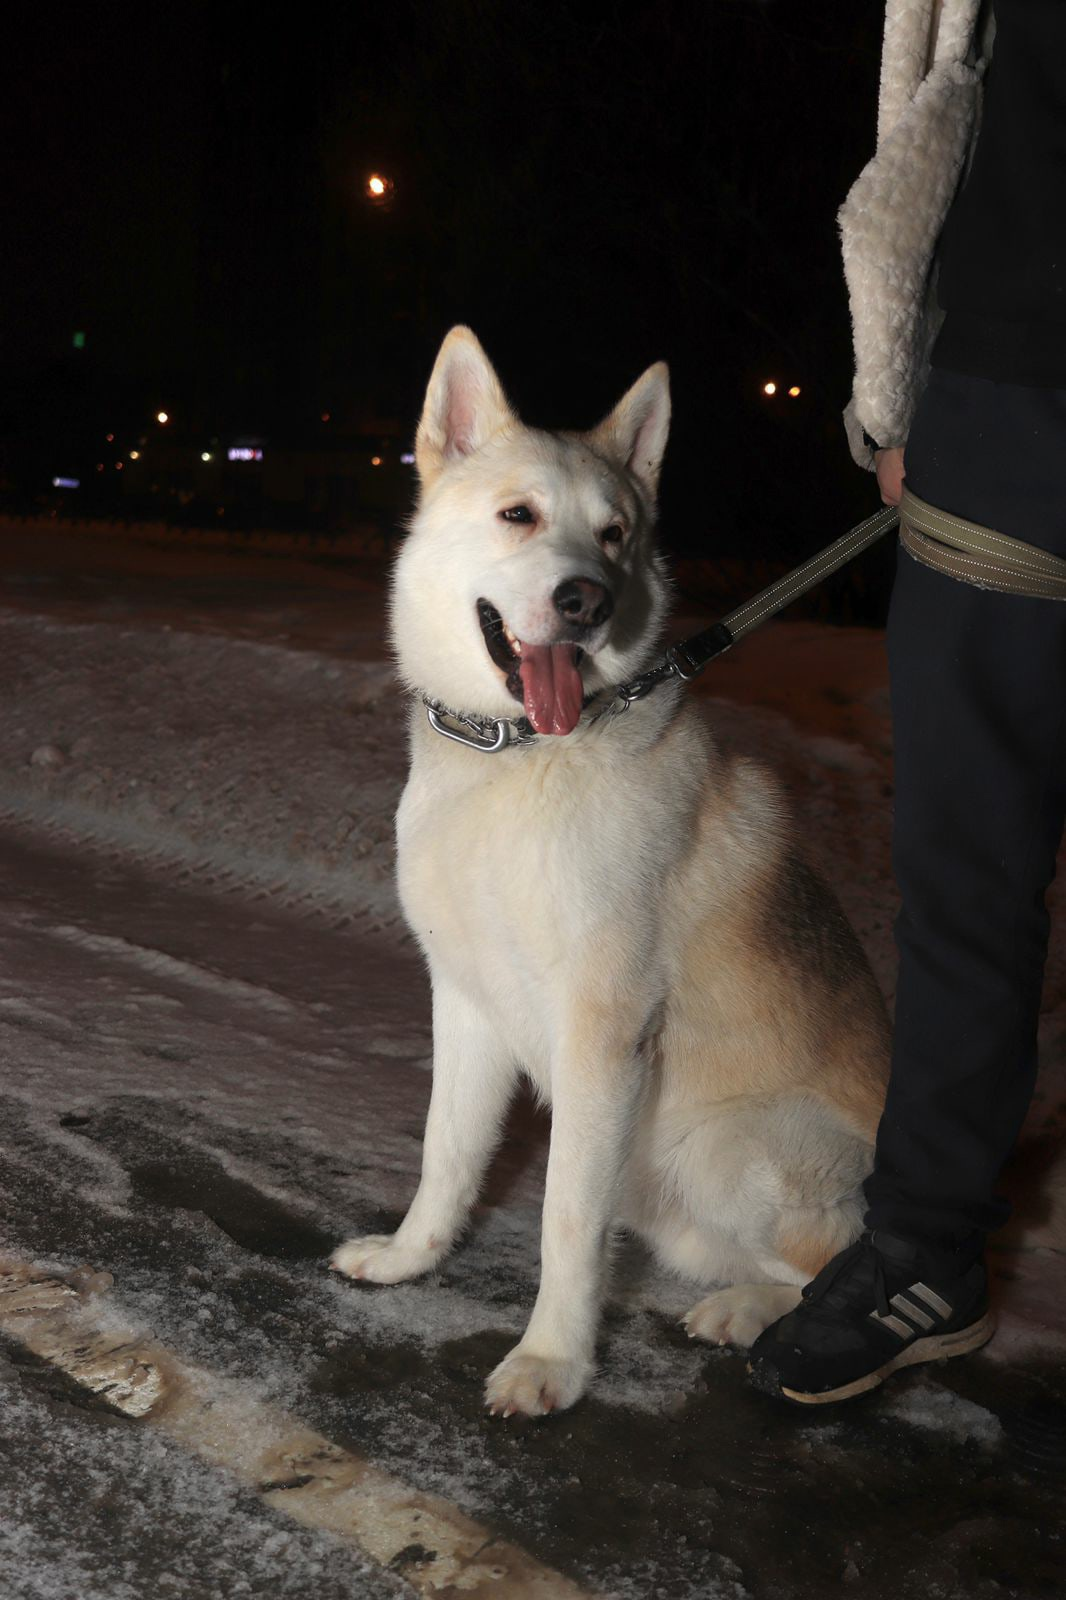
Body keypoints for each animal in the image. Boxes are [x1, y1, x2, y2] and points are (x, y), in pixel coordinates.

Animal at [332, 324, 889, 1414]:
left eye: (617, 534)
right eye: (519, 514)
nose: (584, 599)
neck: (518, 760)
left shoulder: (602, 1034)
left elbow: (564, 1223)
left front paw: (551, 1361)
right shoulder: (464, 1001)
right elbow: (446, 1155)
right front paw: (412, 1259)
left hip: (716, 1149)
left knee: (837, 1268)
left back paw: (760, 1319)